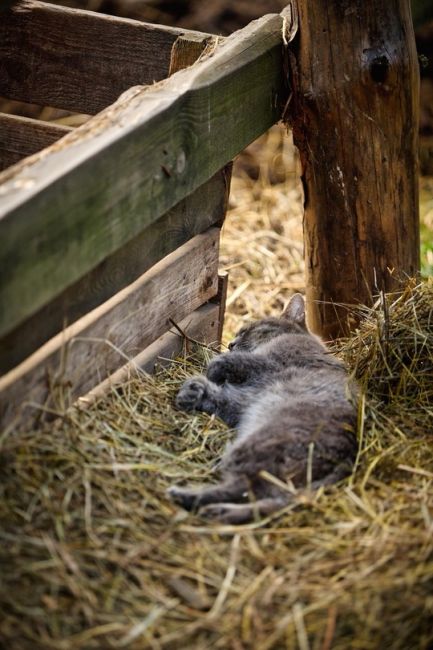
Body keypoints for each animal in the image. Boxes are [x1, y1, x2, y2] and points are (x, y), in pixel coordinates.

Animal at [167, 294, 356, 520]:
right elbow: (220, 398)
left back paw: (186, 496)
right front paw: (193, 392)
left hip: (256, 446)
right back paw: (218, 511)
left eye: (247, 331)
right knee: (267, 502)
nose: (230, 344)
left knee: (242, 487)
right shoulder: (244, 399)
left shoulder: (266, 363)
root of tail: (346, 459)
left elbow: (231, 362)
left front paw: (211, 372)